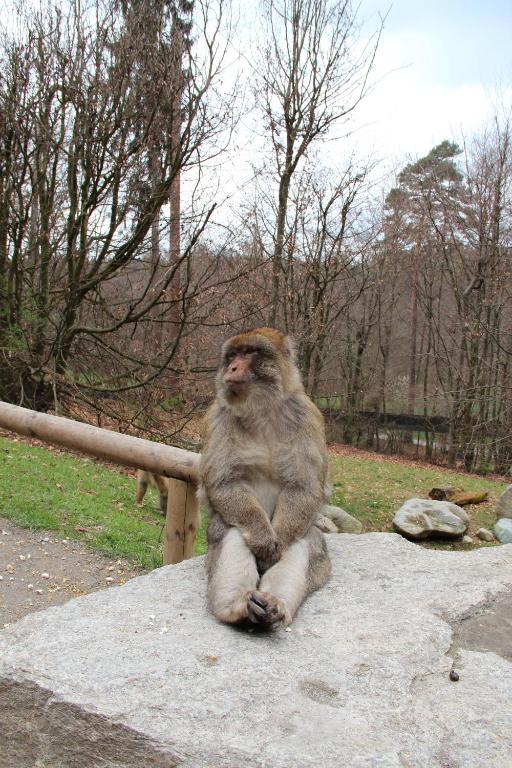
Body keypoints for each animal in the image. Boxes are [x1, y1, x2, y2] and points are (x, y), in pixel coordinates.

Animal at [198, 326, 330, 632]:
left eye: (249, 352)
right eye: (233, 355)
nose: (232, 367)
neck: (262, 409)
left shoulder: (306, 416)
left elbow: (303, 487)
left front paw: (276, 543)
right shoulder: (219, 416)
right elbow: (225, 483)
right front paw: (263, 540)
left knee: (306, 541)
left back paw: (272, 606)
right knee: (232, 531)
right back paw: (237, 609)